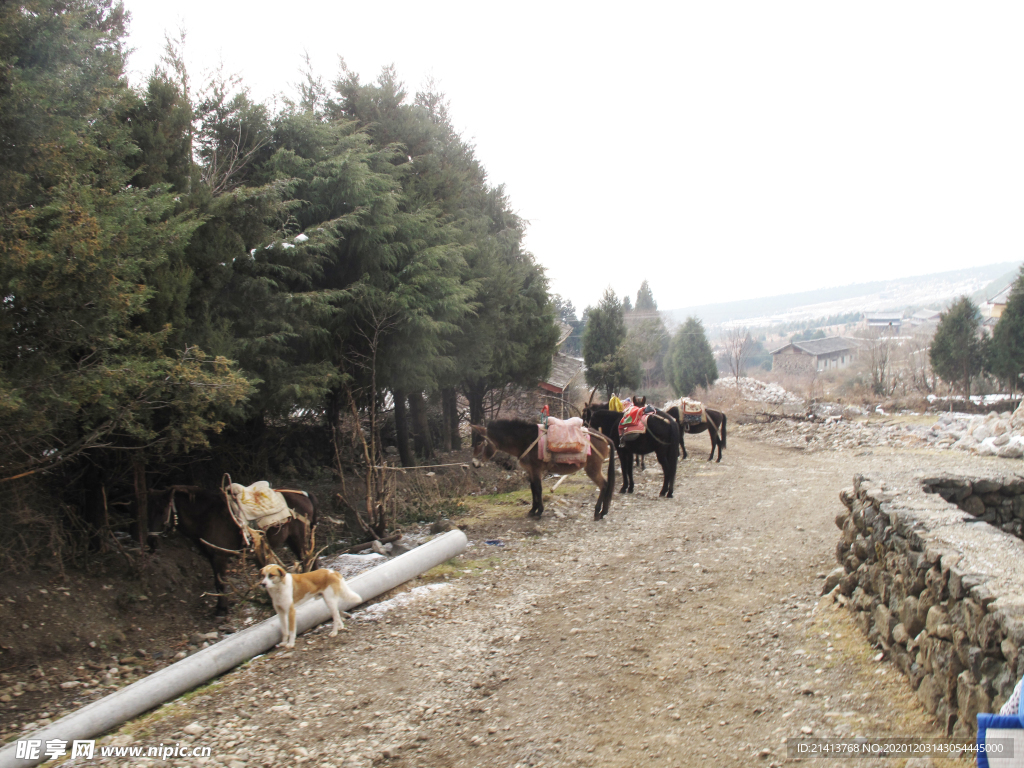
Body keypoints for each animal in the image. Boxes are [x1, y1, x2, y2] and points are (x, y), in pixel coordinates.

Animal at [148, 487, 315, 618]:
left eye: (162, 511)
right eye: (149, 511)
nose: (151, 542)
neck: (207, 517)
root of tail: (304, 495)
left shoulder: (219, 557)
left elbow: (220, 582)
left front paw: (221, 610)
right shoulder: (211, 557)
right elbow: (218, 582)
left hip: (298, 538)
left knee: (307, 559)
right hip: (292, 540)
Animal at [471, 421, 614, 524]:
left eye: (479, 442)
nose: (473, 464)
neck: (526, 441)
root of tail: (604, 437)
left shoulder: (536, 469)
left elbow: (538, 489)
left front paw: (539, 512)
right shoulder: (530, 471)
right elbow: (533, 489)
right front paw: (532, 510)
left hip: (592, 468)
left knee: (604, 485)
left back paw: (598, 512)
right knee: (606, 485)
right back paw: (603, 511)